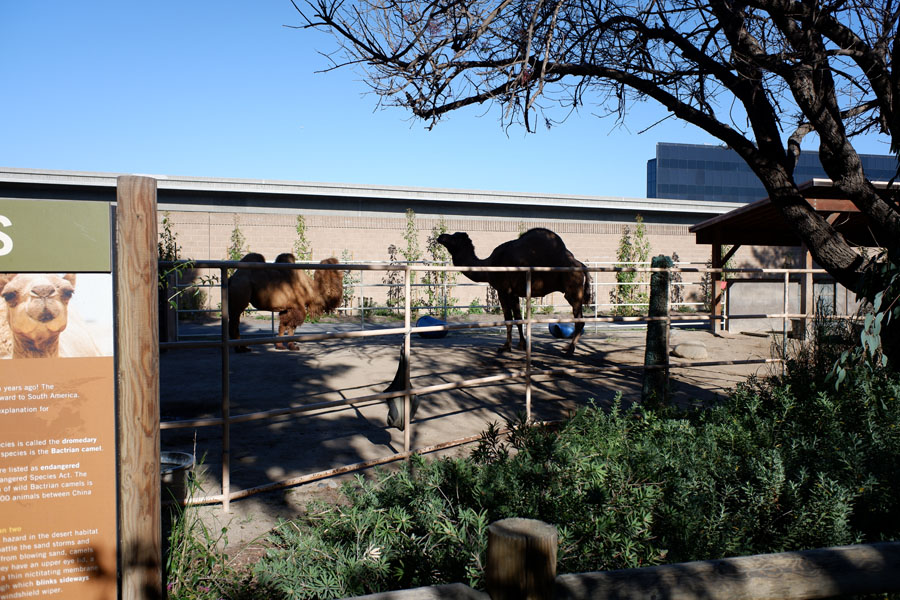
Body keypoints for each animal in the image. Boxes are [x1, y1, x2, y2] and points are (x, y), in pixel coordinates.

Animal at [437, 228, 591, 354]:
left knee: (580, 320)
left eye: (455, 237)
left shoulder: (503, 290)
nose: (441, 236)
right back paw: (568, 347)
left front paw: (505, 347)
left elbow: (508, 319)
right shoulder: (514, 293)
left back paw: (569, 350)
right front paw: (521, 345)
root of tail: (581, 265)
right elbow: (518, 318)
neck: (489, 265)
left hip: (573, 291)